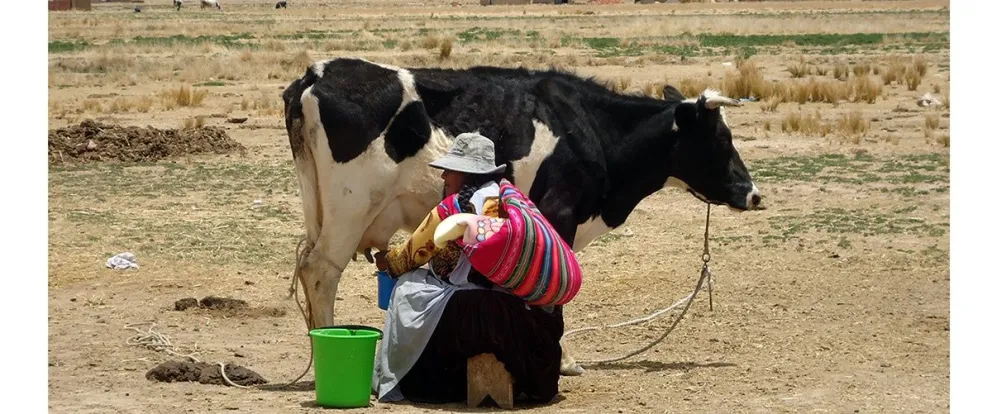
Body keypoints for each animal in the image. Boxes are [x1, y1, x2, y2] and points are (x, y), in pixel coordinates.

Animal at [282, 57, 761, 376]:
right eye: (721, 139)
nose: (753, 193)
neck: (589, 130)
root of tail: (318, 73)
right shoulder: (559, 216)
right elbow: (557, 290)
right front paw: (562, 360)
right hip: (349, 208)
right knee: (320, 270)